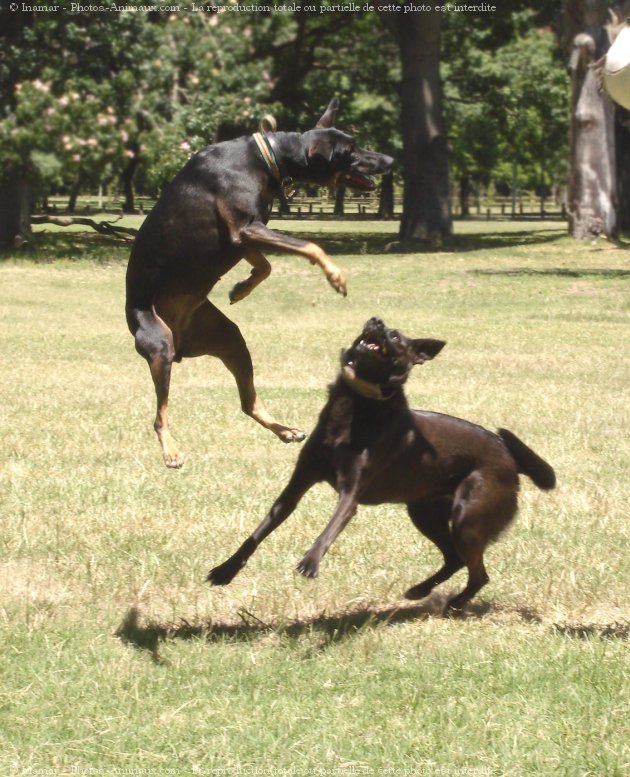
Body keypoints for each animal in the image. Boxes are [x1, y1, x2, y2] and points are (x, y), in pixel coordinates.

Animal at [125, 98, 392, 466]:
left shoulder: (245, 236)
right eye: (350, 150)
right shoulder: (245, 228)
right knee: (159, 415)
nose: (390, 161)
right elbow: (310, 246)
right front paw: (335, 276)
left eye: (355, 142)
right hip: (158, 344)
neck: (269, 156)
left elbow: (266, 266)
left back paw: (285, 430)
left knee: (248, 402)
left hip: (230, 339)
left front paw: (242, 289)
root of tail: (179, 346)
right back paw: (171, 450)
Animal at [210, 318, 556, 608]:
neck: (358, 404)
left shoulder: (350, 494)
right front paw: (226, 569)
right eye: (380, 324)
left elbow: (330, 528)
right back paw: (420, 590)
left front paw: (310, 561)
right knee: (454, 560)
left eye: (395, 337)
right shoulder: (296, 485)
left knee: (478, 573)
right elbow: (259, 532)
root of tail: (508, 454)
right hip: (425, 513)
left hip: (467, 520)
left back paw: (456, 603)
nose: (375, 321)